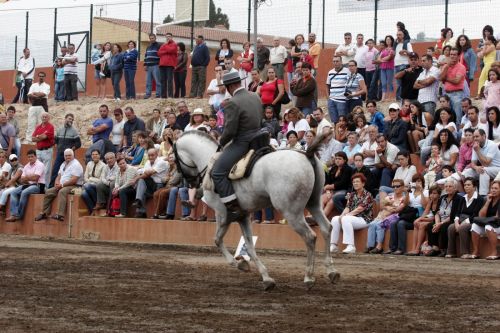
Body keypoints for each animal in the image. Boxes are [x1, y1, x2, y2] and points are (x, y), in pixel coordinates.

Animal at [174, 130, 338, 288]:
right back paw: (331, 271)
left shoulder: (222, 214)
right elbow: (249, 246)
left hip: (292, 213)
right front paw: (266, 278)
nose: (188, 183)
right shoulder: (243, 216)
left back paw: (309, 277)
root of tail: (307, 155)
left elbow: (217, 240)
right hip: (314, 204)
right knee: (326, 228)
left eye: (174, 159)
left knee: (310, 236)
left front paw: (239, 264)